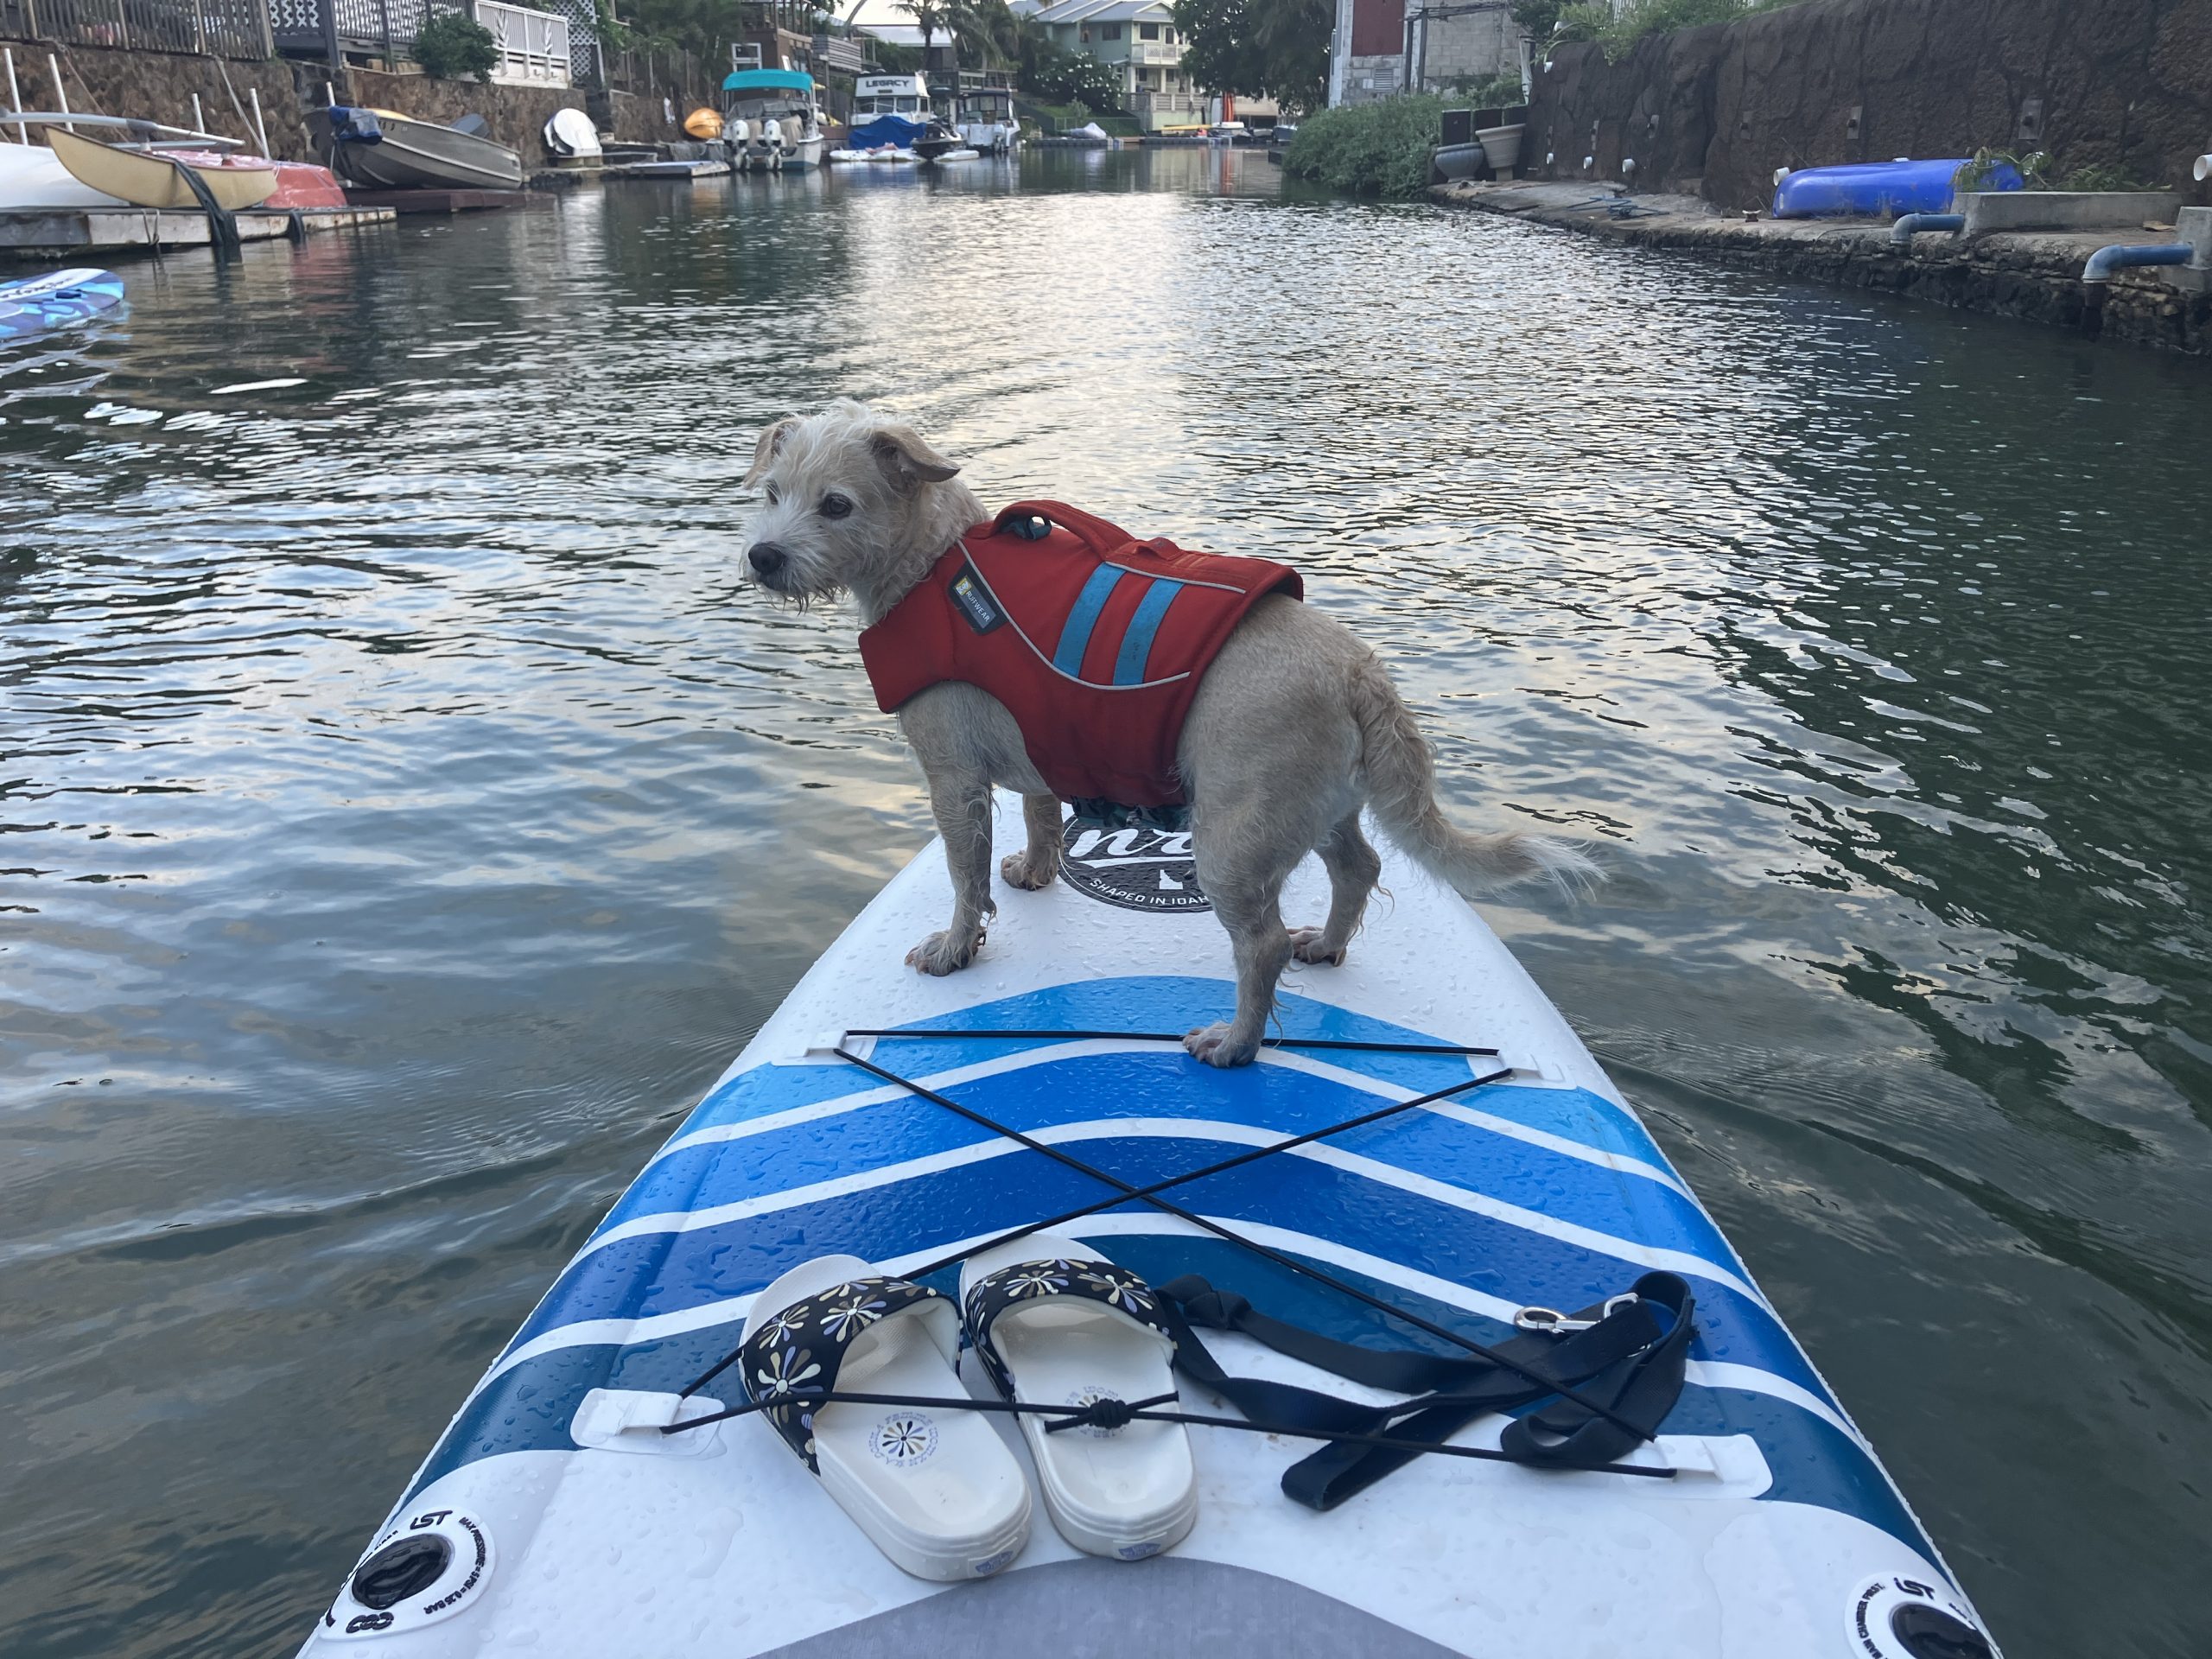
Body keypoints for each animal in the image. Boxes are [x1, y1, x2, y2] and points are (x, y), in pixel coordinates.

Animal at [743, 409, 1592, 1071]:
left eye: (837, 505)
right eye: (772, 494)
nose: (762, 555)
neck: (932, 562)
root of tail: (1361, 673)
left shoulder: (952, 778)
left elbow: (963, 876)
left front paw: (955, 950)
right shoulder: (1040, 749)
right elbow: (1042, 817)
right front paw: (1036, 871)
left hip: (1231, 841)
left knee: (1261, 947)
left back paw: (1235, 1043)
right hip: (1317, 810)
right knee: (1359, 867)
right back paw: (1327, 946)